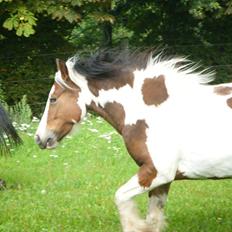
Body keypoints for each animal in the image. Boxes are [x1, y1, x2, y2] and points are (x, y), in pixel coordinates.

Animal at [34, 47, 232, 232]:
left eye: (53, 99)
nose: (39, 138)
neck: (151, 111)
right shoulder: (162, 180)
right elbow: (153, 219)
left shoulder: (157, 172)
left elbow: (121, 198)